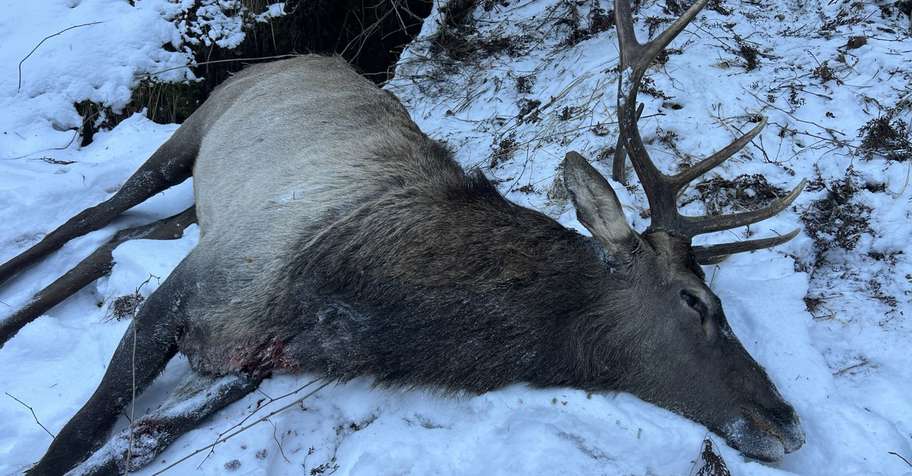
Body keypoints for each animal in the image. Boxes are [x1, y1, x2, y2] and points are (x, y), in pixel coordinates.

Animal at [1, 1, 807, 474]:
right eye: (697, 301)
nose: (786, 419)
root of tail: (299, 54)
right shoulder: (197, 283)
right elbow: (77, 434)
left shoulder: (254, 360)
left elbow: (129, 446)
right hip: (197, 127)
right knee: (93, 217)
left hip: (202, 209)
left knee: (121, 238)